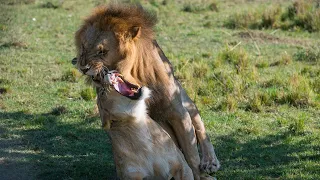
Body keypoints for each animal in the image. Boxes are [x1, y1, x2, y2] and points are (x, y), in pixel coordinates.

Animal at [74, 3, 220, 179]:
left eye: (102, 51)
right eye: (83, 47)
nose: (83, 67)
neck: (133, 75)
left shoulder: (176, 111)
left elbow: (191, 154)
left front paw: (201, 174)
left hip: (183, 98)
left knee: (198, 123)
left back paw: (210, 161)